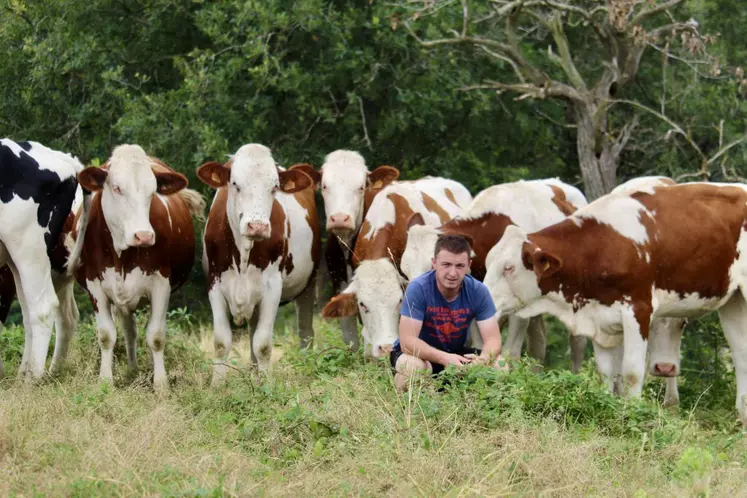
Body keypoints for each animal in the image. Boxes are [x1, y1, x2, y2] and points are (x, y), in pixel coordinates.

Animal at [76, 146, 205, 392]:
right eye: (117, 188)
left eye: (152, 191)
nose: (144, 236)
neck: (121, 255)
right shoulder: (94, 285)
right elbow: (106, 335)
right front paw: (105, 381)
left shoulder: (161, 285)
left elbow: (156, 336)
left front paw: (161, 384)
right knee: (129, 330)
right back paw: (132, 370)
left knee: (132, 330)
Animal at [197, 144, 320, 382]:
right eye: (235, 184)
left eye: (274, 187)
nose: (257, 226)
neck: (243, 256)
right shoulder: (214, 284)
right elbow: (221, 342)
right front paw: (217, 384)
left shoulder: (273, 287)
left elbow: (263, 345)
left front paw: (266, 385)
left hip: (308, 285)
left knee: (305, 331)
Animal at [404, 178, 592, 370]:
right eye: (404, 272)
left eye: (432, 266)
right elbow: (480, 345)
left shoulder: (518, 308)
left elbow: (510, 354)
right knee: (538, 346)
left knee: (577, 344)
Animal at [486, 181, 747, 422]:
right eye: (488, 263)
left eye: (509, 267)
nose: (485, 298)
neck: (600, 248)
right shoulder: (599, 318)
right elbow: (605, 373)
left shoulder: (638, 310)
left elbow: (631, 372)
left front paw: (632, 415)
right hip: (734, 303)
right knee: (741, 352)